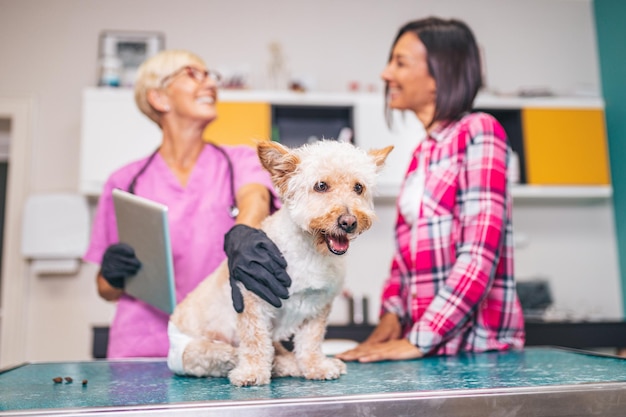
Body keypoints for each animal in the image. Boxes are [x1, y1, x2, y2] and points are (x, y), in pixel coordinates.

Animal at [166, 138, 390, 386]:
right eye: (321, 186)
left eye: (358, 187)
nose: (349, 222)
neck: (310, 251)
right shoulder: (251, 301)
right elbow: (254, 341)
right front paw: (253, 372)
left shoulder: (318, 306)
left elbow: (311, 342)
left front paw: (316, 366)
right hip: (199, 351)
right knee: (233, 354)